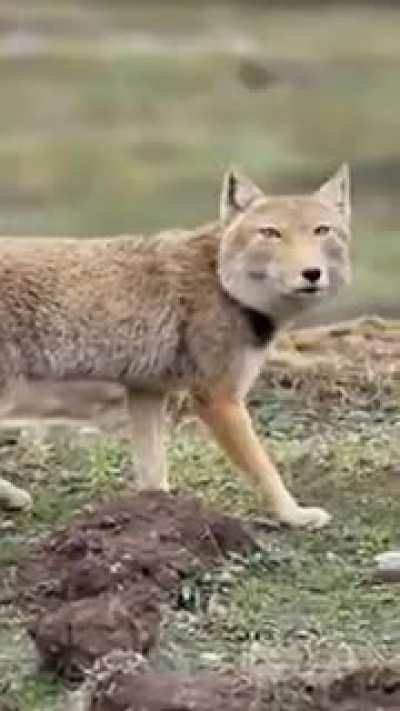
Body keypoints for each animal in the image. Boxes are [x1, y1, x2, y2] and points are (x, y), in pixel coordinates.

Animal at [0, 165, 351, 529]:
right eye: (271, 233)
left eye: (322, 230)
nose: (312, 273)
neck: (221, 281)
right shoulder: (218, 399)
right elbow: (264, 469)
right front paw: (293, 514)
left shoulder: (147, 391)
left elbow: (154, 474)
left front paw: (158, 514)